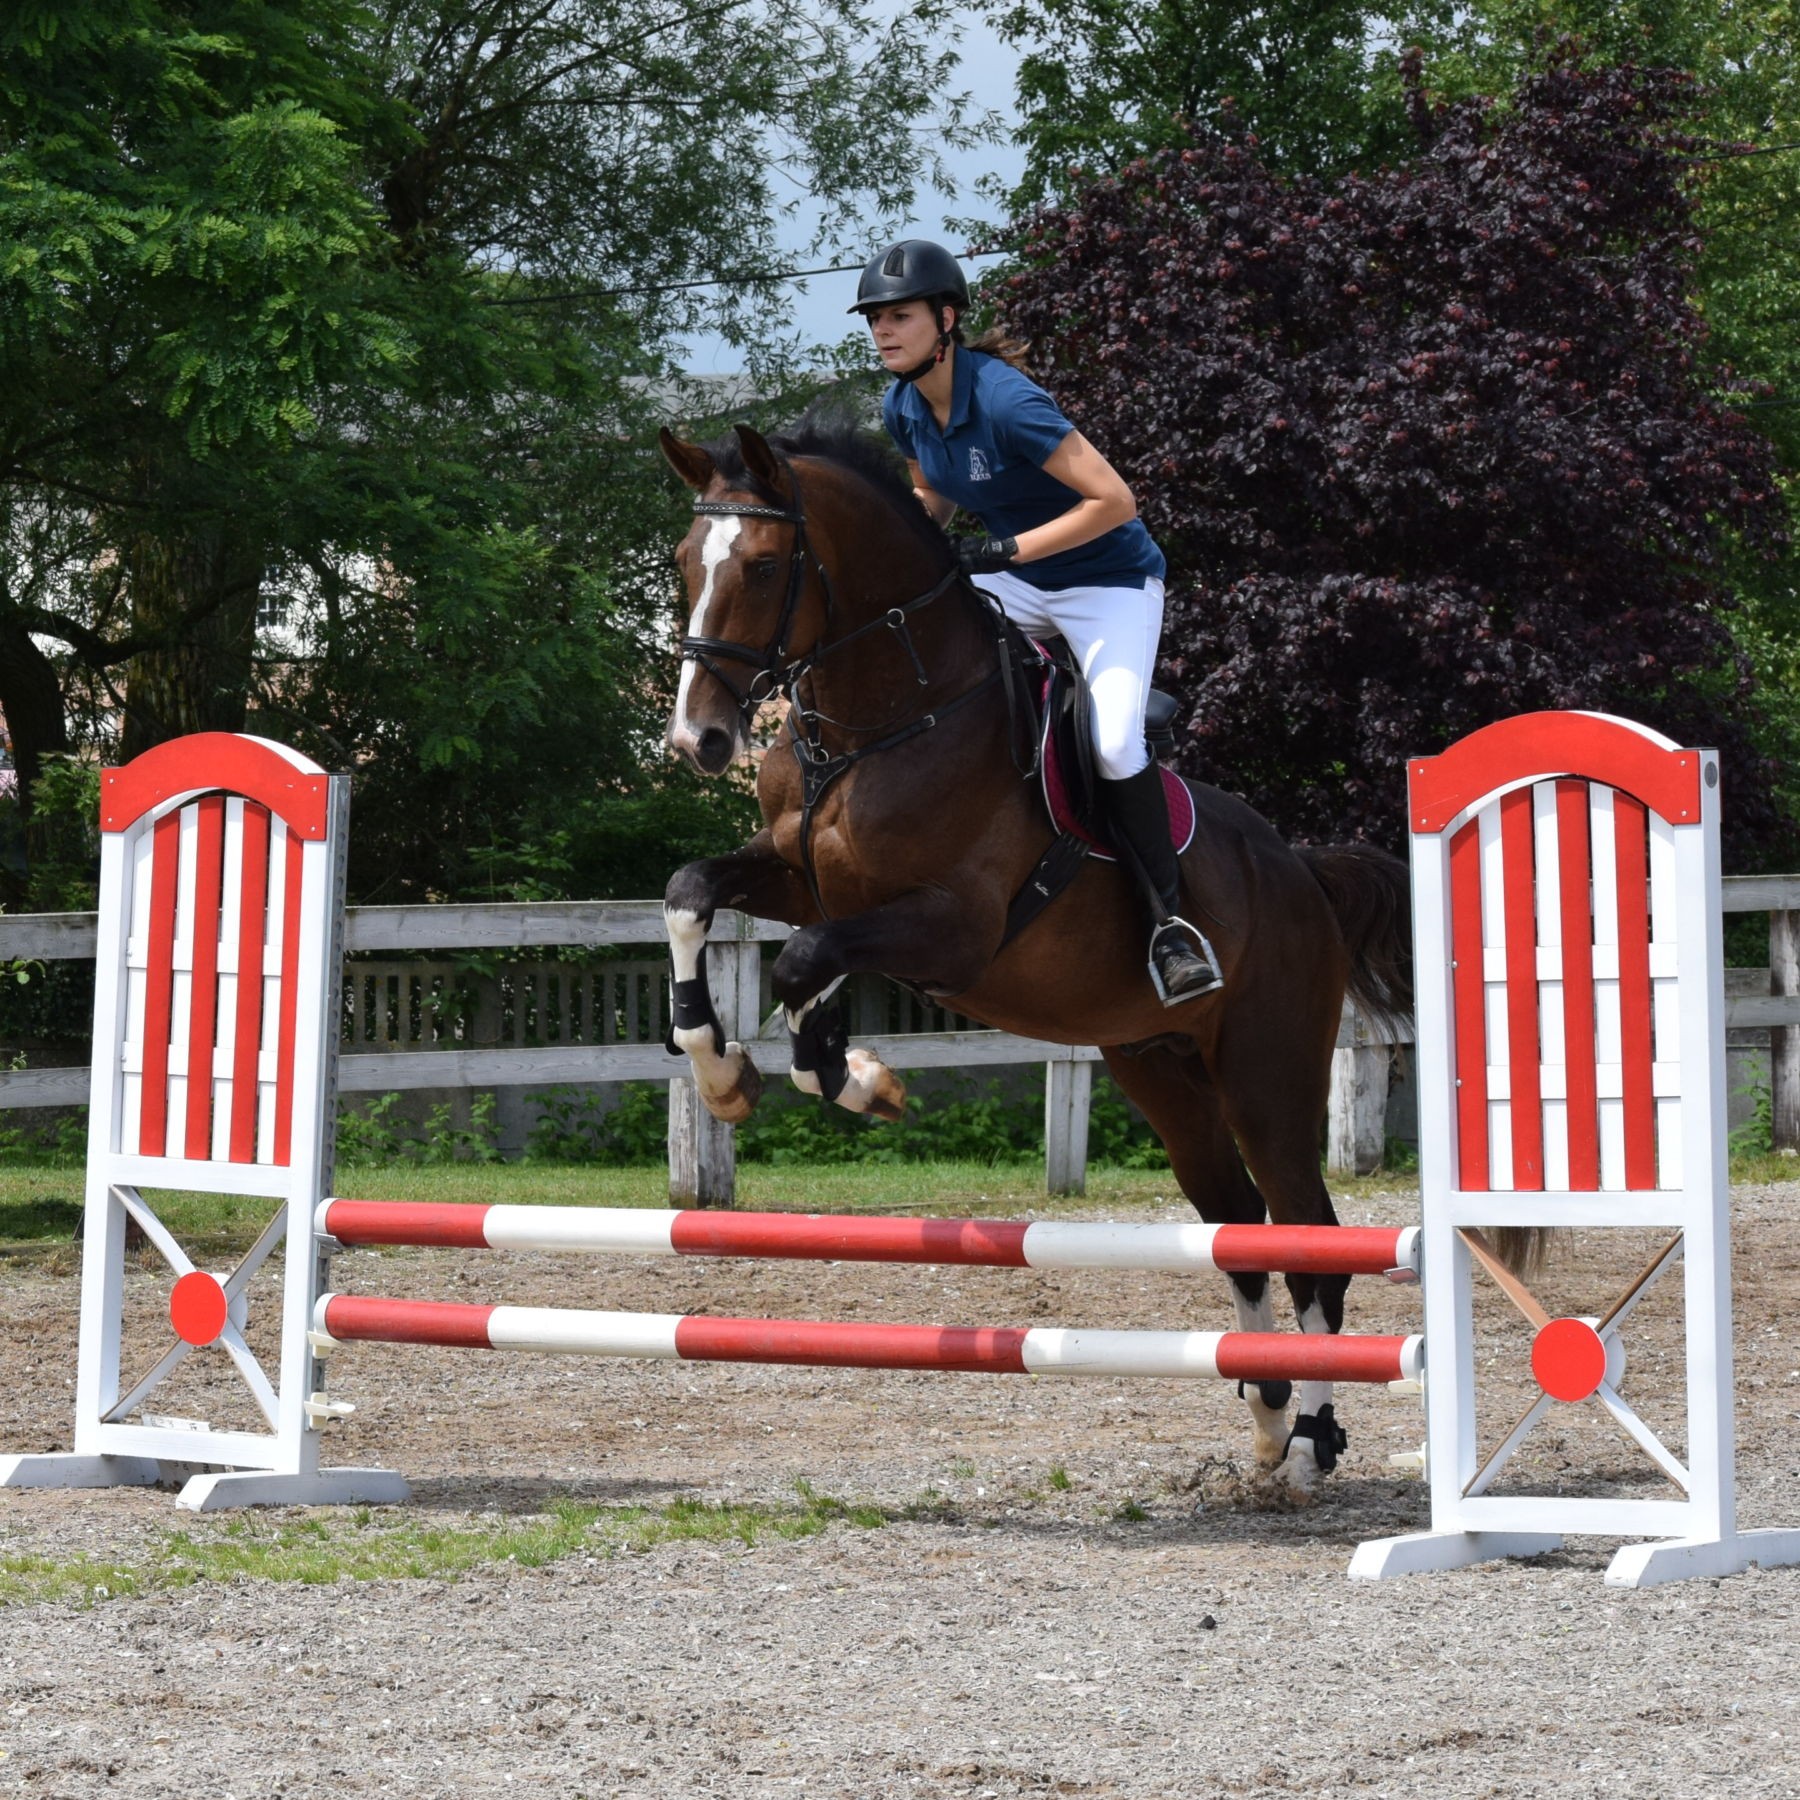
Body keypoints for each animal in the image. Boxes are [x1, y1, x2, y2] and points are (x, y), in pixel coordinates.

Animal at [656, 413, 1414, 1491]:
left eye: (763, 566)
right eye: (687, 560)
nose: (698, 741)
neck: (886, 715)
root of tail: (1302, 871)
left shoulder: (955, 927)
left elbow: (804, 963)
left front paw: (855, 1080)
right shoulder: (799, 876)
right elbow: (694, 897)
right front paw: (728, 1074)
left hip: (1266, 1074)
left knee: (1313, 1238)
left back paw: (1313, 1437)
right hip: (1159, 1067)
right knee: (1236, 1223)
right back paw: (1269, 1417)